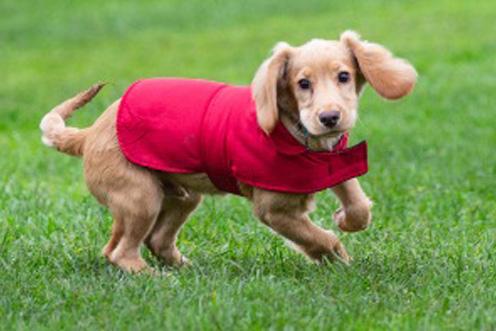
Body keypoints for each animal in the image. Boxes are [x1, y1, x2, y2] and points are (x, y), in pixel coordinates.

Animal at [40, 31, 416, 274]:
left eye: (344, 76)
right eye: (303, 84)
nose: (329, 118)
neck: (300, 138)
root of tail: (89, 134)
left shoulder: (336, 162)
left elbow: (357, 205)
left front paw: (345, 220)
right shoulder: (274, 210)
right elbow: (318, 237)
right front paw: (336, 255)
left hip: (179, 195)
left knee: (146, 242)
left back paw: (184, 268)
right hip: (140, 196)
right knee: (122, 252)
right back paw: (152, 277)